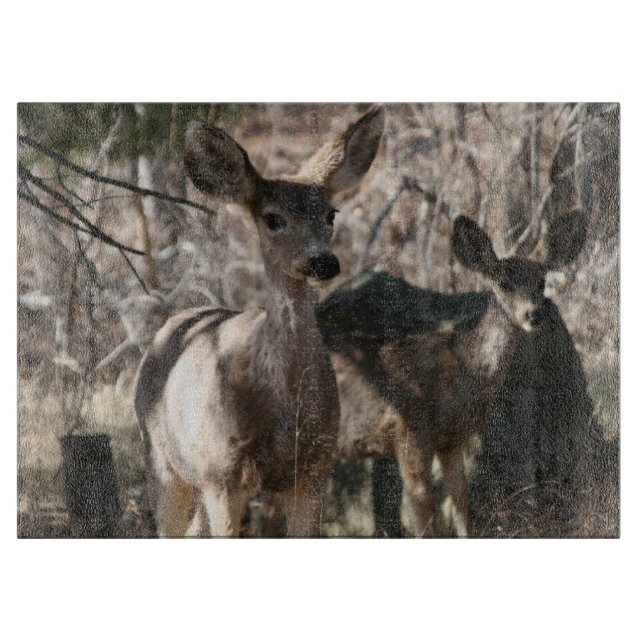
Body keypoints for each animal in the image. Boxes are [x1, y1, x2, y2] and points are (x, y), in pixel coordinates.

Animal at [134, 106, 384, 537]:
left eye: (330, 213)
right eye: (272, 219)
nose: (323, 262)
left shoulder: (313, 468)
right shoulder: (222, 472)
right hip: (164, 460)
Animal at [317, 210, 588, 537]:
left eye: (542, 281)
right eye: (503, 283)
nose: (533, 314)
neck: (460, 375)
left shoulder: (452, 439)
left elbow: (461, 502)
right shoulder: (408, 433)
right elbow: (423, 510)